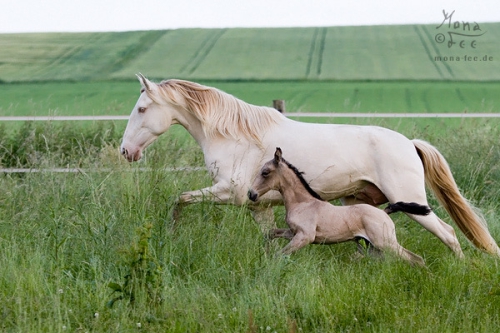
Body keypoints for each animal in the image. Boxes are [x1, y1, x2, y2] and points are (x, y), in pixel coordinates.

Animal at [121, 75, 500, 256]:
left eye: (141, 109)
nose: (126, 151)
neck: (234, 135)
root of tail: (410, 143)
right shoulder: (257, 206)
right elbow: (269, 236)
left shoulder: (230, 193)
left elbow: (181, 199)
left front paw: (170, 235)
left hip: (410, 202)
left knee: (449, 234)